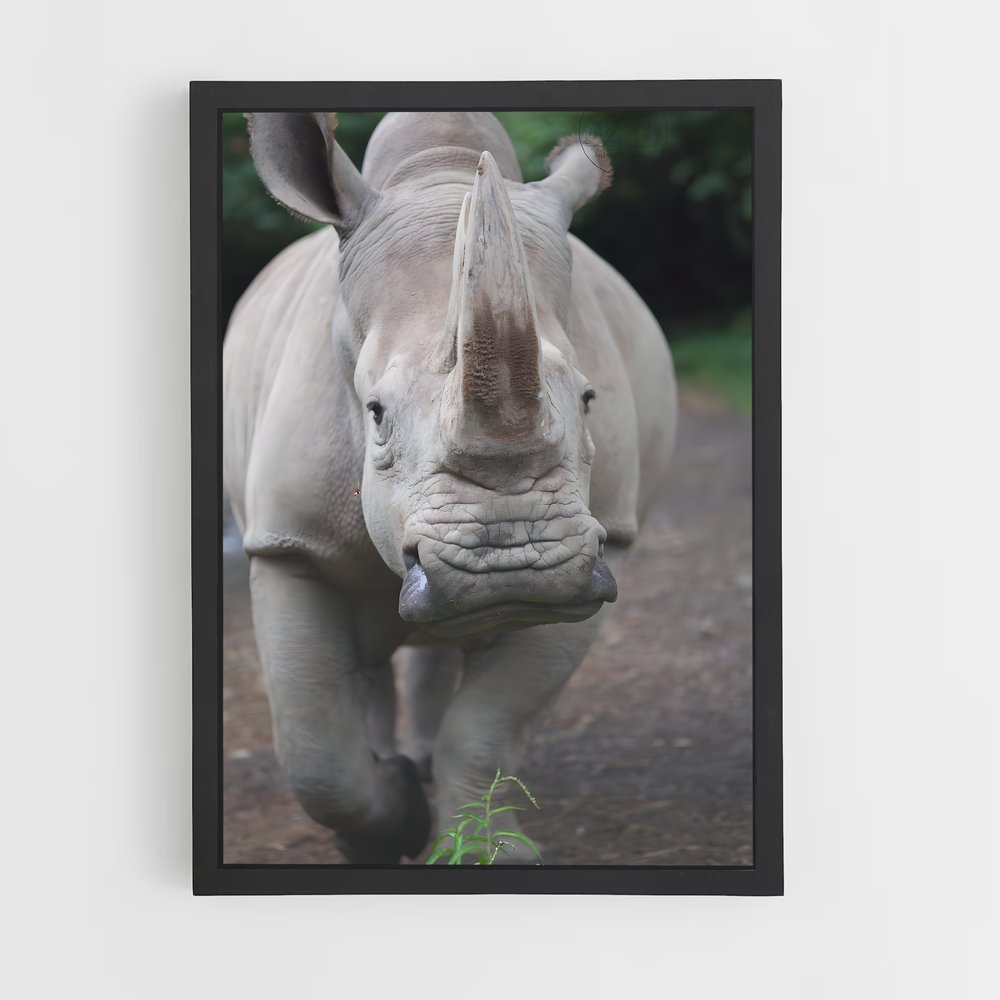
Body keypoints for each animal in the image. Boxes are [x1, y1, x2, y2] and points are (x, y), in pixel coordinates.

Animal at [223, 111, 677, 863]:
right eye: (375, 412)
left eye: (589, 400)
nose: (512, 568)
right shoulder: (288, 541)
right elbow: (315, 750)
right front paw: (391, 824)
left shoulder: (605, 541)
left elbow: (488, 724)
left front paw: (490, 849)